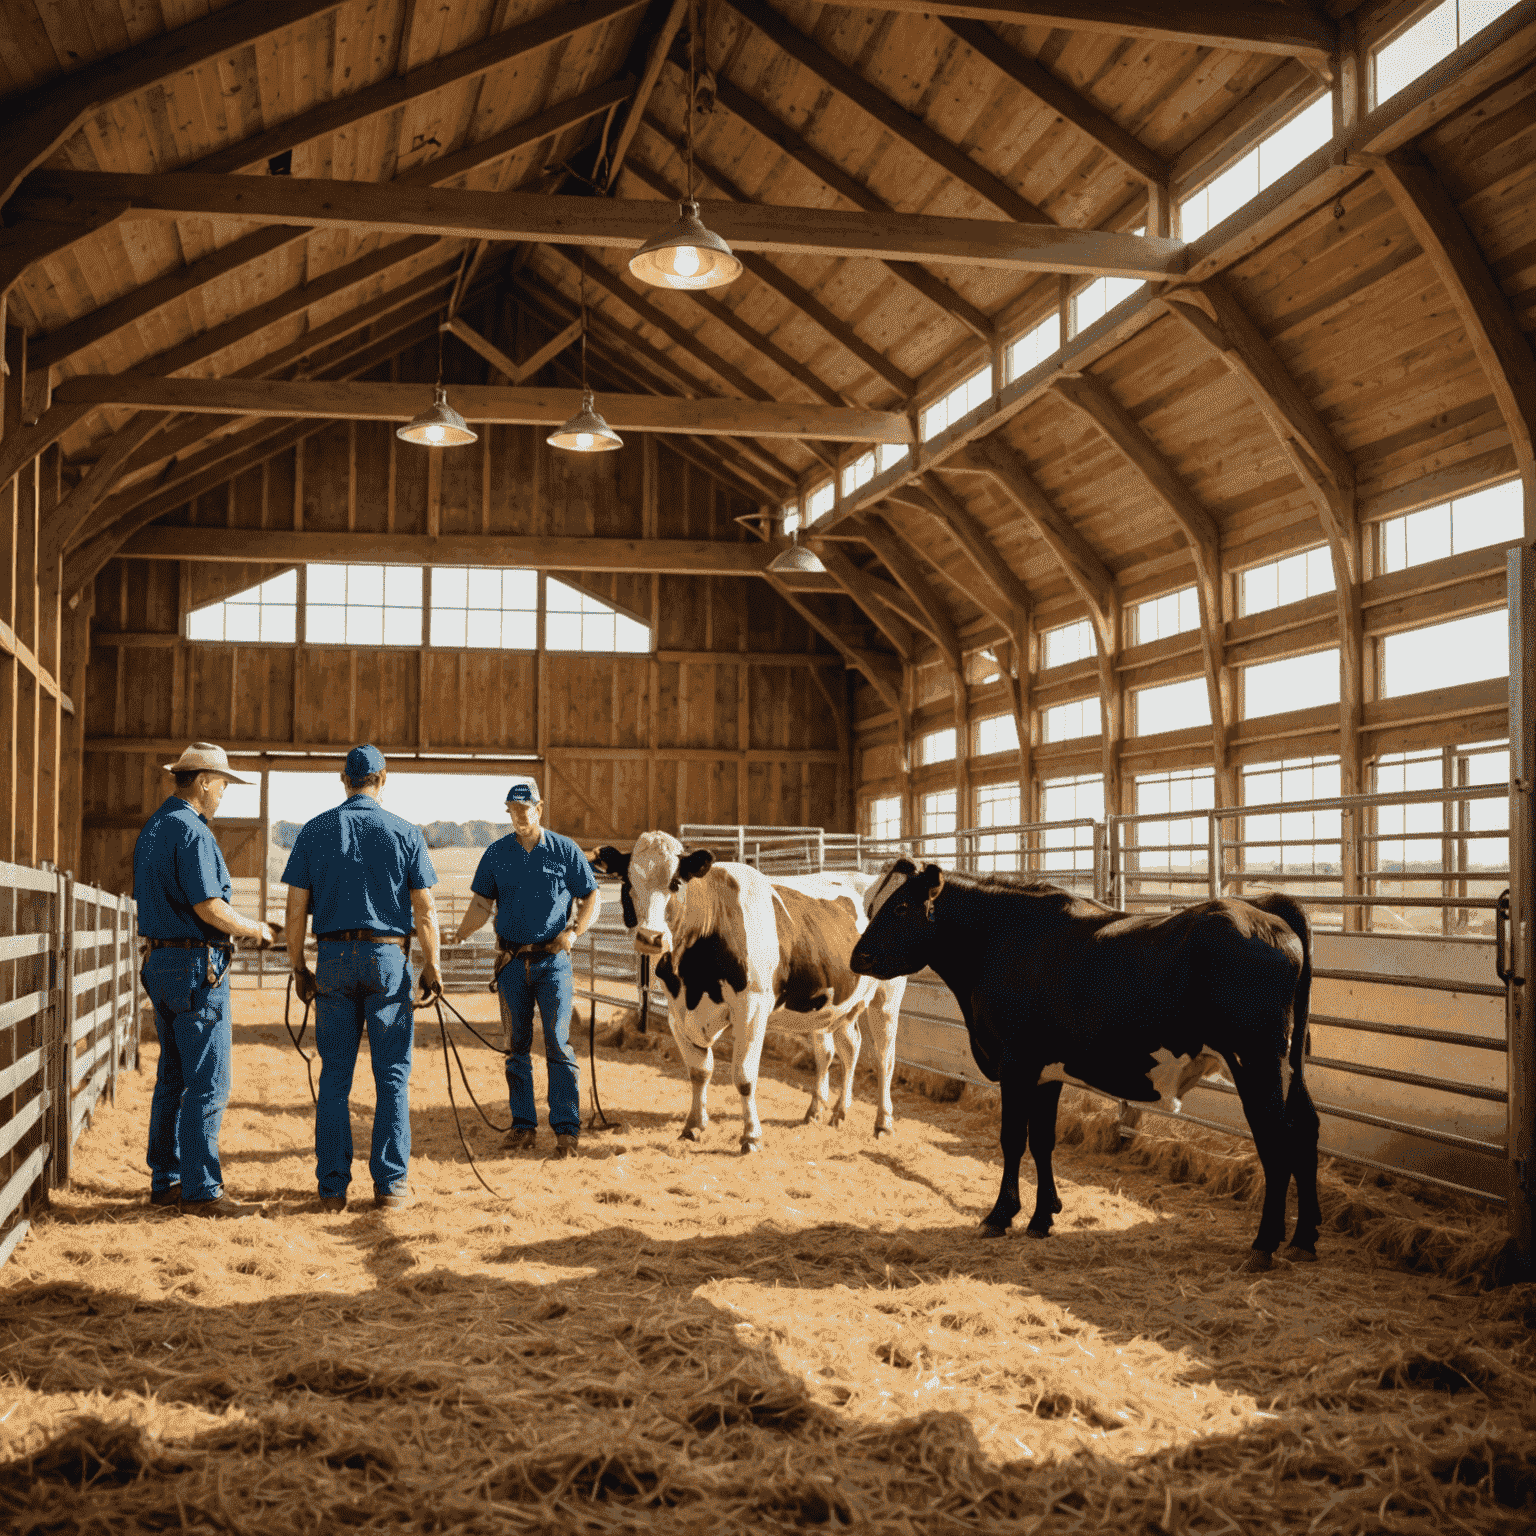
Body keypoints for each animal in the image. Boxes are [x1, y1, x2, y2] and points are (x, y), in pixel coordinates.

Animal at [589, 835, 903, 1148]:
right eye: (627, 882)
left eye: (676, 882)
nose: (650, 937)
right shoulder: (676, 1013)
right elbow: (698, 1071)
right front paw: (693, 1126)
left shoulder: (752, 1007)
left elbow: (744, 1076)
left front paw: (751, 1135)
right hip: (832, 1003)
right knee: (843, 1050)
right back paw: (829, 1112)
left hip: (886, 997)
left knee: (884, 1059)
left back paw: (883, 1123)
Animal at [847, 866, 1314, 1271]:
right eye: (873, 905)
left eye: (900, 907)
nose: (857, 957)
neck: (1001, 939)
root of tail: (1264, 911)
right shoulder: (1047, 1072)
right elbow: (1043, 1142)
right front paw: (1043, 1216)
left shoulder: (1017, 1063)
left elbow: (1013, 1139)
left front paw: (1001, 1214)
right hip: (1289, 1065)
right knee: (1305, 1129)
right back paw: (1303, 1240)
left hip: (1256, 1062)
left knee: (1277, 1142)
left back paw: (1264, 1245)